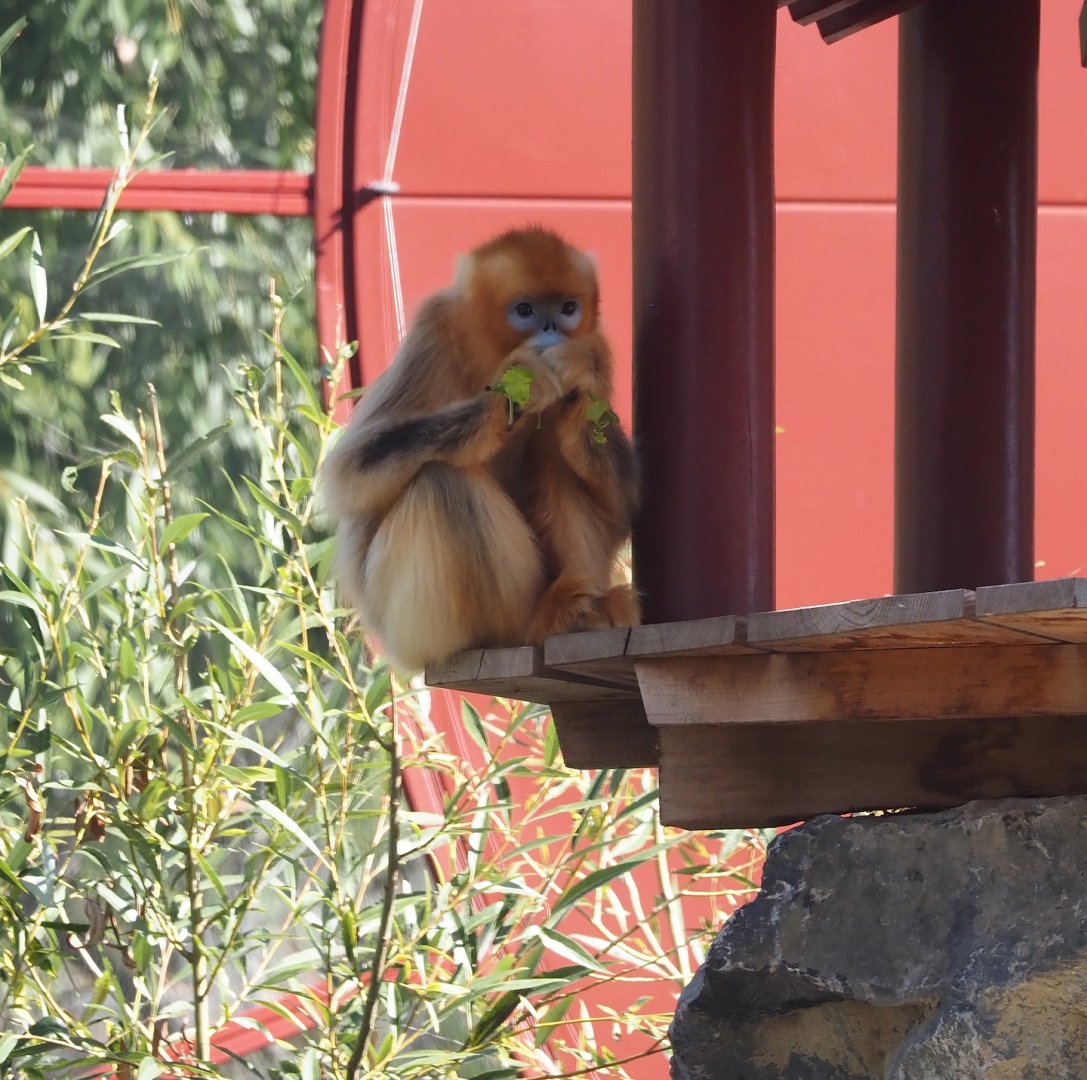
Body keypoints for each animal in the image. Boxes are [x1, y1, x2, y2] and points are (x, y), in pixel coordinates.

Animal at [320, 226, 639, 672]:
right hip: (411, 629)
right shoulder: (433, 330)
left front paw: (575, 390)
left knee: (554, 451)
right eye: (525, 310)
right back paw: (527, 629)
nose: (551, 329)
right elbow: (349, 473)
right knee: (441, 482)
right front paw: (510, 398)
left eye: (568, 308)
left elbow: (623, 503)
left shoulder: (598, 348)